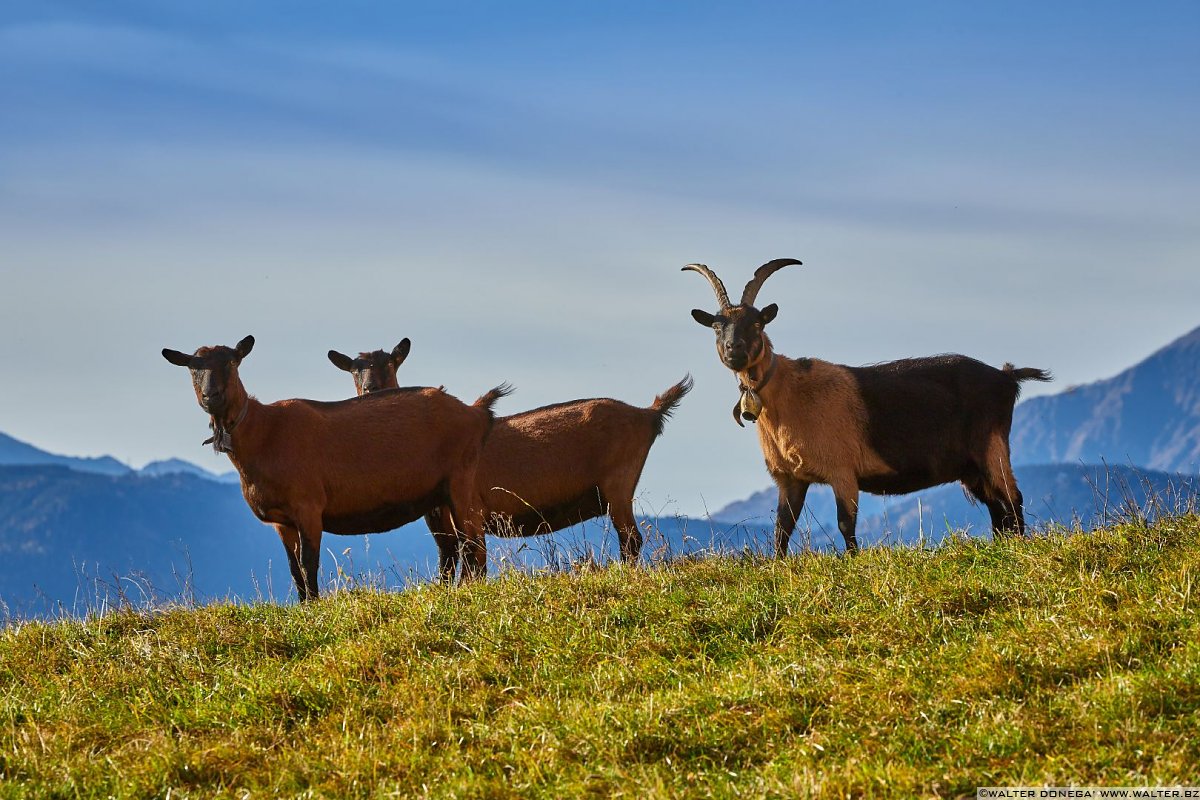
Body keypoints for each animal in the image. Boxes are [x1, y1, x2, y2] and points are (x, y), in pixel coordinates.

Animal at [160, 335, 506, 597]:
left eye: (232, 362)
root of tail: (475, 413)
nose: (211, 396)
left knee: (474, 545)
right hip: (439, 496)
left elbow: (308, 564)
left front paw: (313, 607)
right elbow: (294, 569)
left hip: (460, 482)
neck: (265, 433)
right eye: (192, 367)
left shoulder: (308, 507)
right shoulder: (282, 521)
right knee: (455, 546)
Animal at [333, 340, 696, 578]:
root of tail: (648, 414)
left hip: (617, 486)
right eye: (353, 370)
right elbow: (448, 562)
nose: (371, 389)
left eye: (391, 363)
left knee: (631, 540)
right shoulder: (439, 520)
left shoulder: (465, 508)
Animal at [686, 260, 1051, 554]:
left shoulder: (843, 471)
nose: (734, 349)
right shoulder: (789, 479)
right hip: (972, 467)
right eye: (717, 326)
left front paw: (852, 562)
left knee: (1013, 501)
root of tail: (1006, 377)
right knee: (998, 510)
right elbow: (782, 529)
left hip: (991, 448)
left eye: (757, 324)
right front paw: (777, 566)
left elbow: (845, 524)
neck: (789, 394)